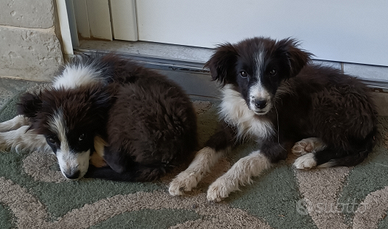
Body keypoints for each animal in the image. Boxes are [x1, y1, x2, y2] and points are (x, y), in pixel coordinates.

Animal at [0, 54, 197, 182]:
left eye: (82, 136)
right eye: (52, 140)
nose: (72, 175)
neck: (76, 86)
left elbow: (26, 134)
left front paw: (5, 138)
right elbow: (25, 120)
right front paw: (6, 125)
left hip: (126, 104)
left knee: (119, 164)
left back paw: (98, 148)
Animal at [168, 36, 378, 201]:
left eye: (273, 72)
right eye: (242, 74)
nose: (260, 103)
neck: (249, 110)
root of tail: (372, 113)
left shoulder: (277, 143)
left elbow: (243, 162)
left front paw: (220, 185)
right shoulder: (229, 127)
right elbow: (204, 151)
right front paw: (184, 178)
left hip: (323, 104)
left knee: (347, 146)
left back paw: (308, 158)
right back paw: (306, 144)